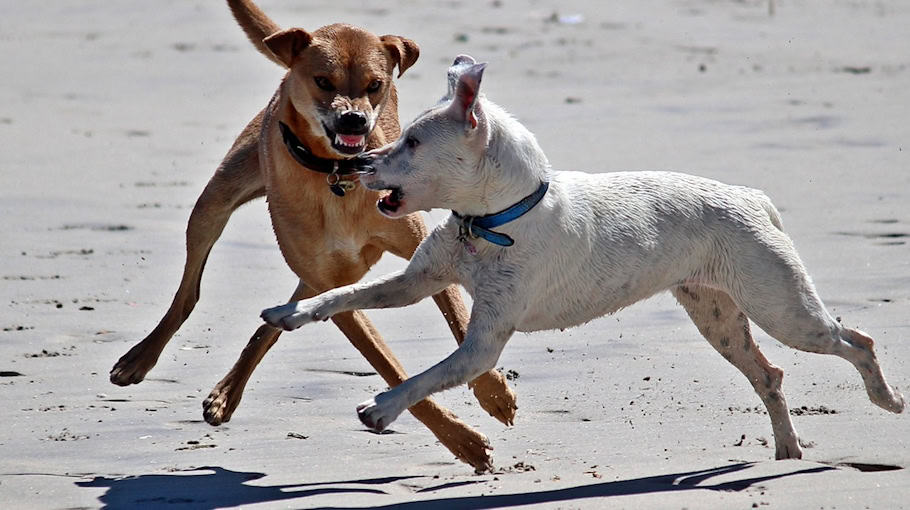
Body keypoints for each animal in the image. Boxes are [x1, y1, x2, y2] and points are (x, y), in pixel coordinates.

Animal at [108, 0, 516, 470]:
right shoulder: (332, 286)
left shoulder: (415, 254)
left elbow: (459, 320)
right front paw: (462, 440)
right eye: (323, 81)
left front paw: (494, 393)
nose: (354, 118)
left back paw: (227, 390)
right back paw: (141, 359)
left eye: (376, 85)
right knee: (189, 291)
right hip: (217, 200)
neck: (336, 177)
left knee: (277, 313)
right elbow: (388, 365)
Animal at [264, 54, 904, 458]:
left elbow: (426, 378)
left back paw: (886, 399)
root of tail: (753, 197)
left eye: (413, 142)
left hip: (784, 310)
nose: (356, 164)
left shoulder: (482, 346)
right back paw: (787, 449)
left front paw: (382, 409)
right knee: (770, 374)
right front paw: (289, 313)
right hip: (718, 318)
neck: (495, 220)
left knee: (856, 341)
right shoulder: (418, 282)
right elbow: (341, 294)